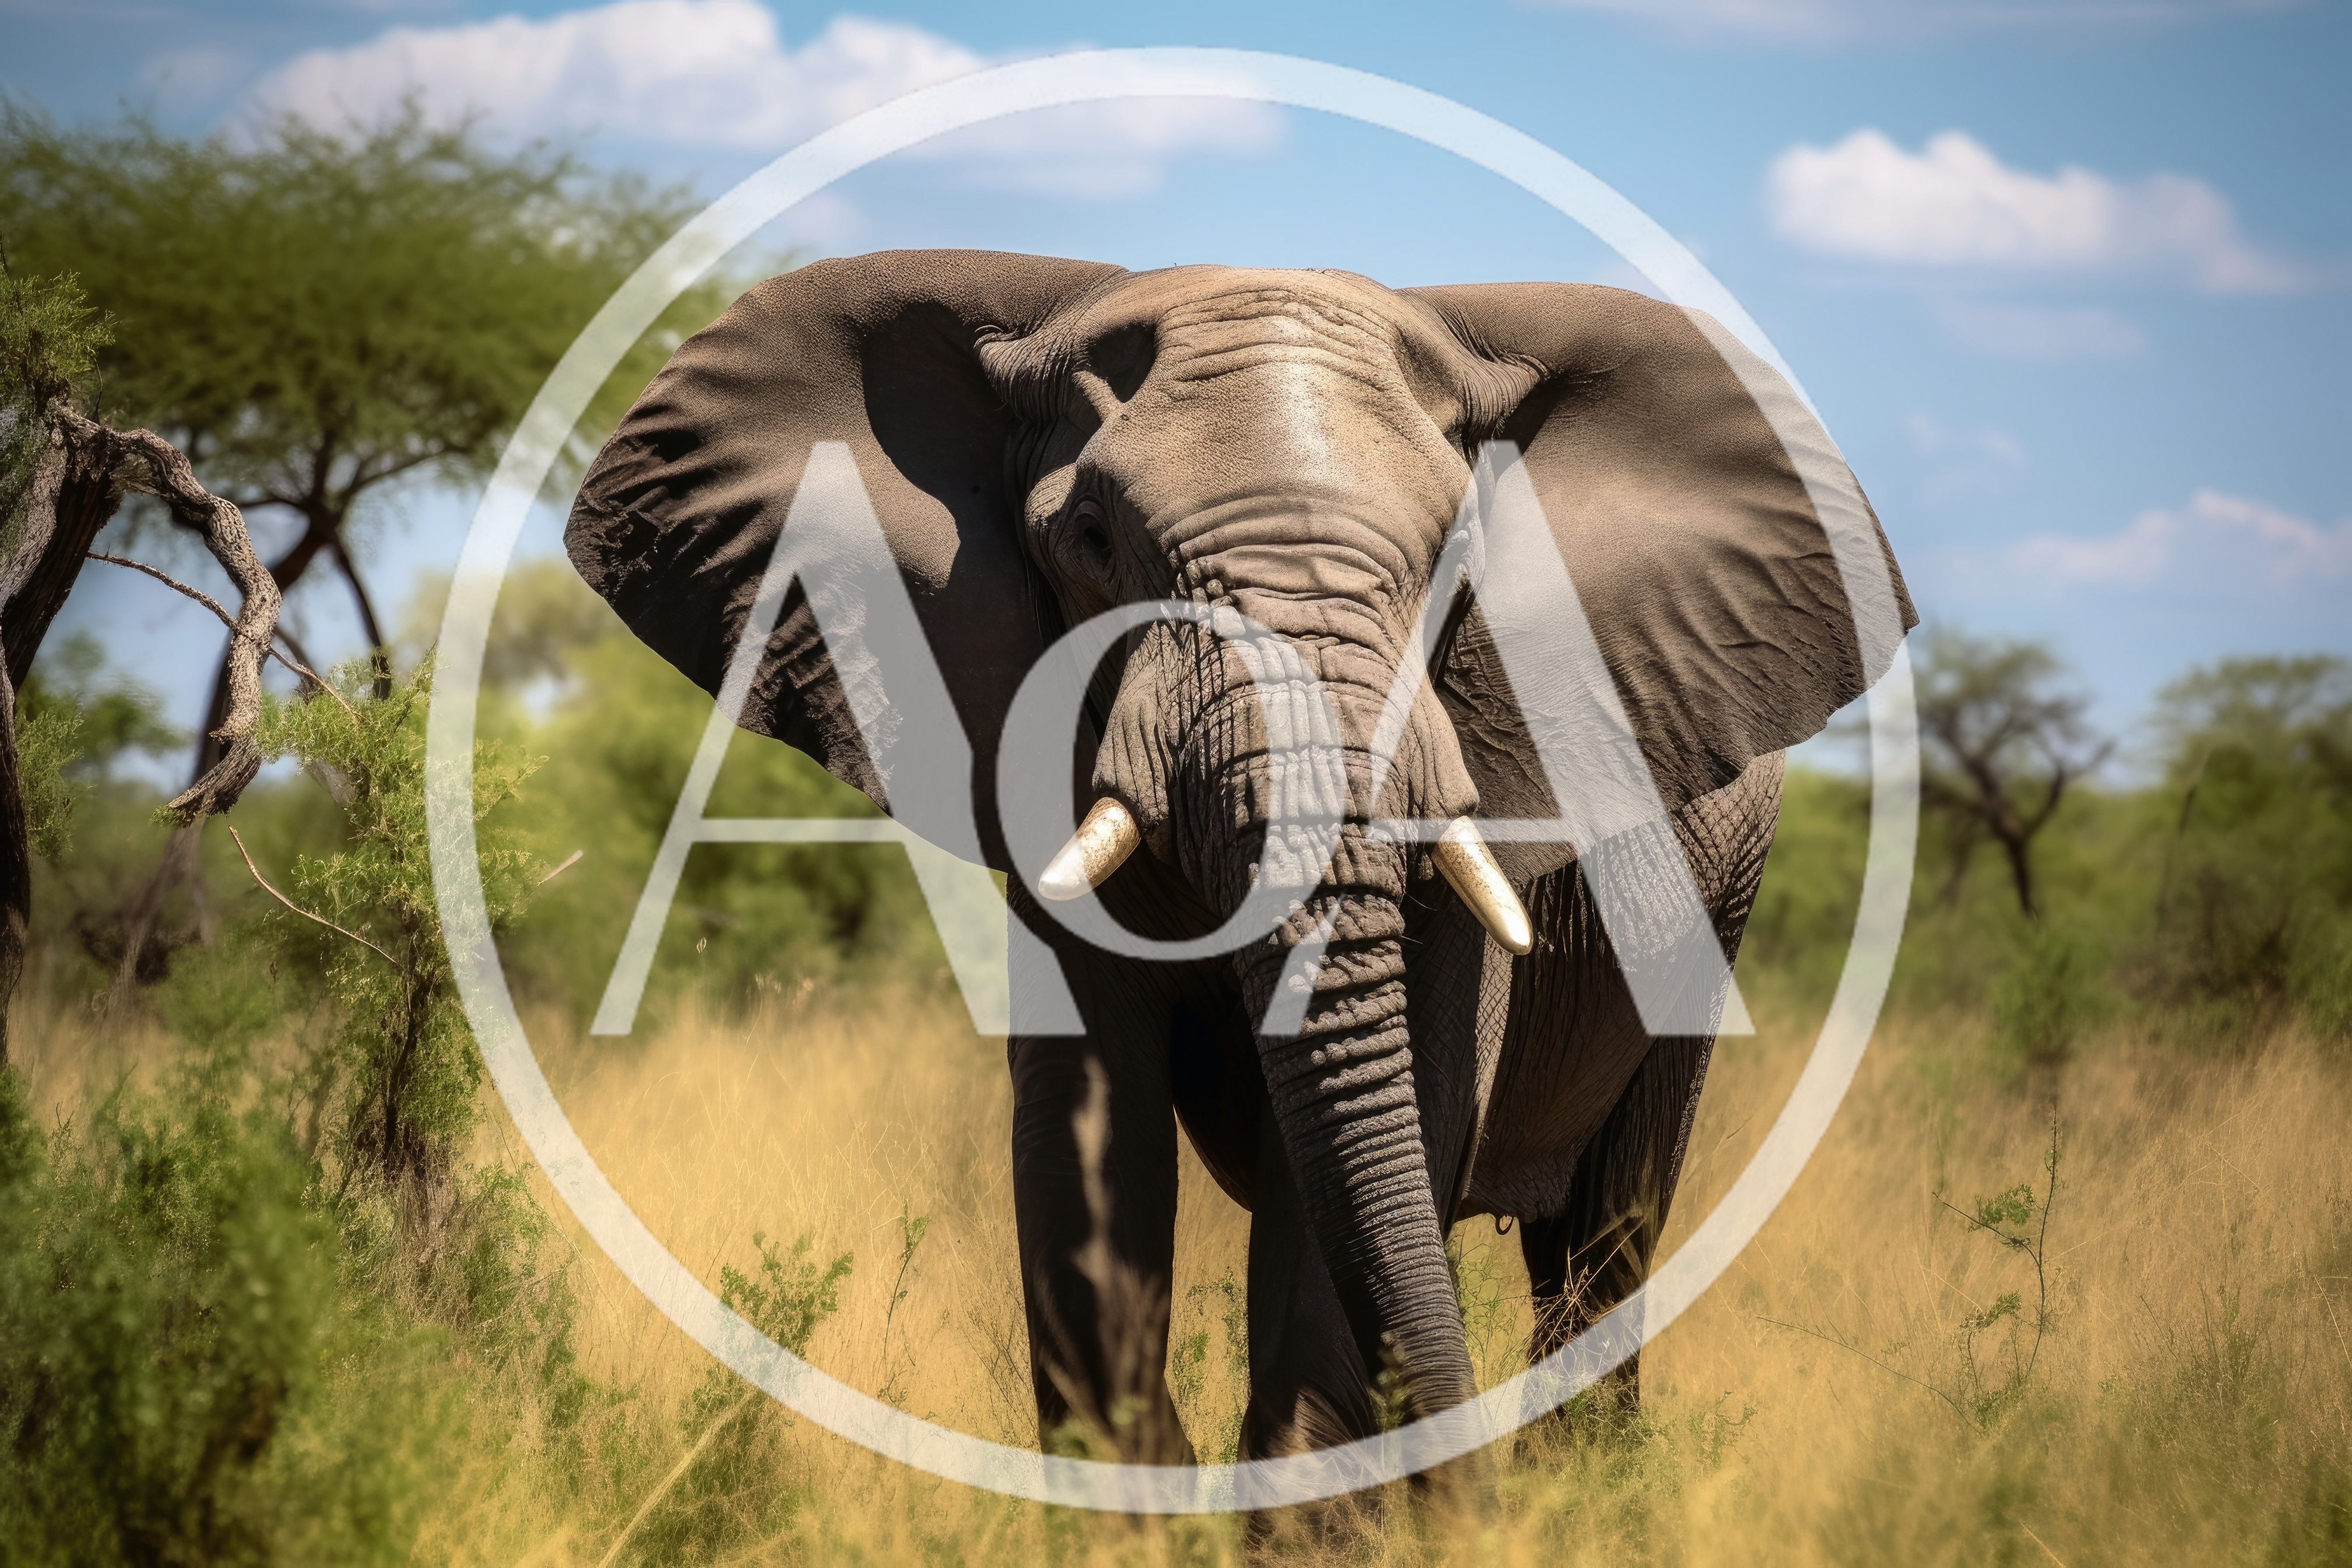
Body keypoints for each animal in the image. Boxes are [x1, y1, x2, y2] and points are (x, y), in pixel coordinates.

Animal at [564, 251, 1913, 1485]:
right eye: (1093, 541)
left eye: (1454, 555)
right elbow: (1083, 1142)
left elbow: (1385, 1135)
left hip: (1717, 909)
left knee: (1602, 1245)